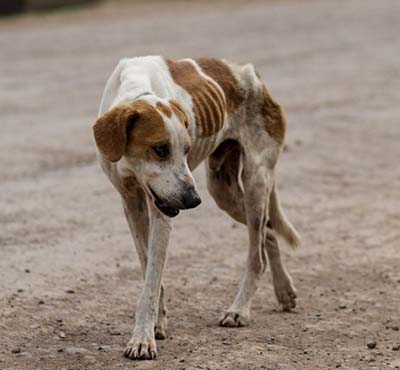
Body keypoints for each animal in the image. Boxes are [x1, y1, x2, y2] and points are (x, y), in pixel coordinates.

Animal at [93, 56, 300, 360]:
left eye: (187, 149)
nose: (193, 201)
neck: (136, 88)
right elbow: (148, 270)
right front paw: (158, 323)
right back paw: (284, 290)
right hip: (223, 192)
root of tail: (253, 75)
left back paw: (239, 310)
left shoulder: (161, 211)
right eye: (160, 149)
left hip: (255, 181)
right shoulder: (131, 203)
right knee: (268, 234)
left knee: (256, 255)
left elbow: (151, 280)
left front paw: (142, 339)